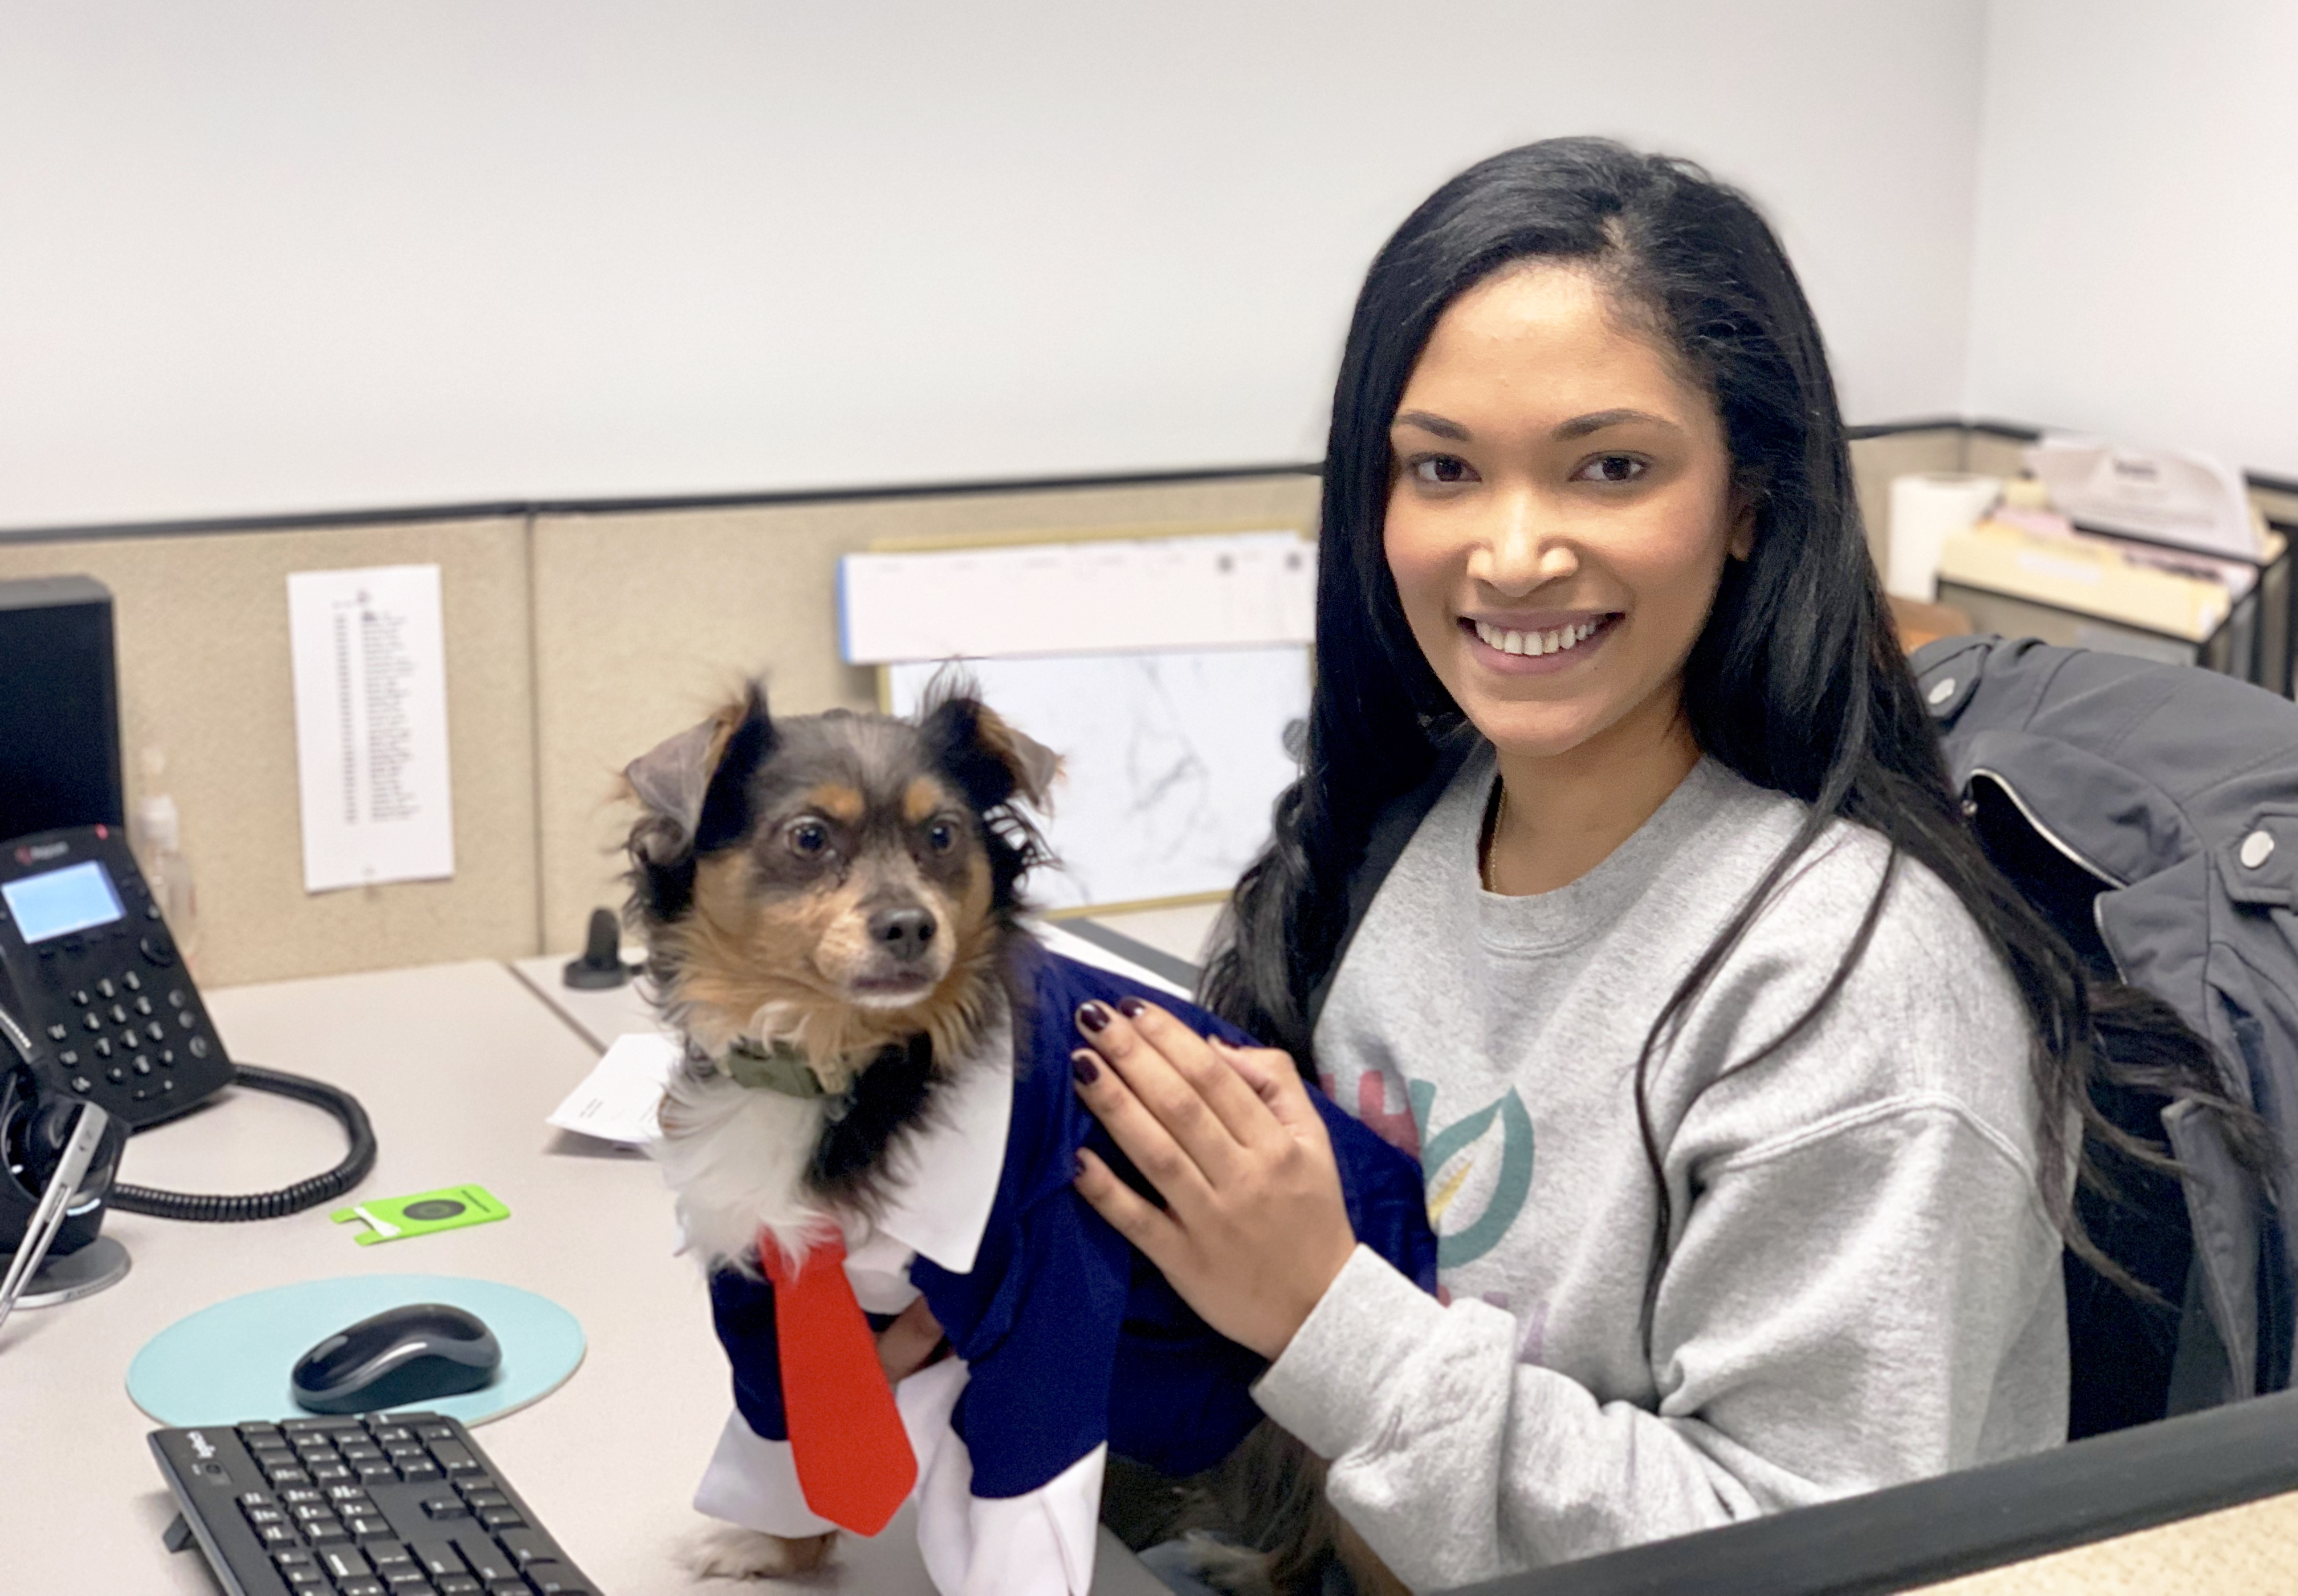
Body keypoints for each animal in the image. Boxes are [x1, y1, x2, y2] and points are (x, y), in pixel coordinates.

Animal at [620, 681, 1424, 1591]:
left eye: (942, 835)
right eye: (809, 837)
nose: (910, 926)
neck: (849, 1065)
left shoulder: (1048, 1297)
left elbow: (1025, 1492)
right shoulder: (768, 1289)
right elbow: (783, 1430)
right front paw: (774, 1546)